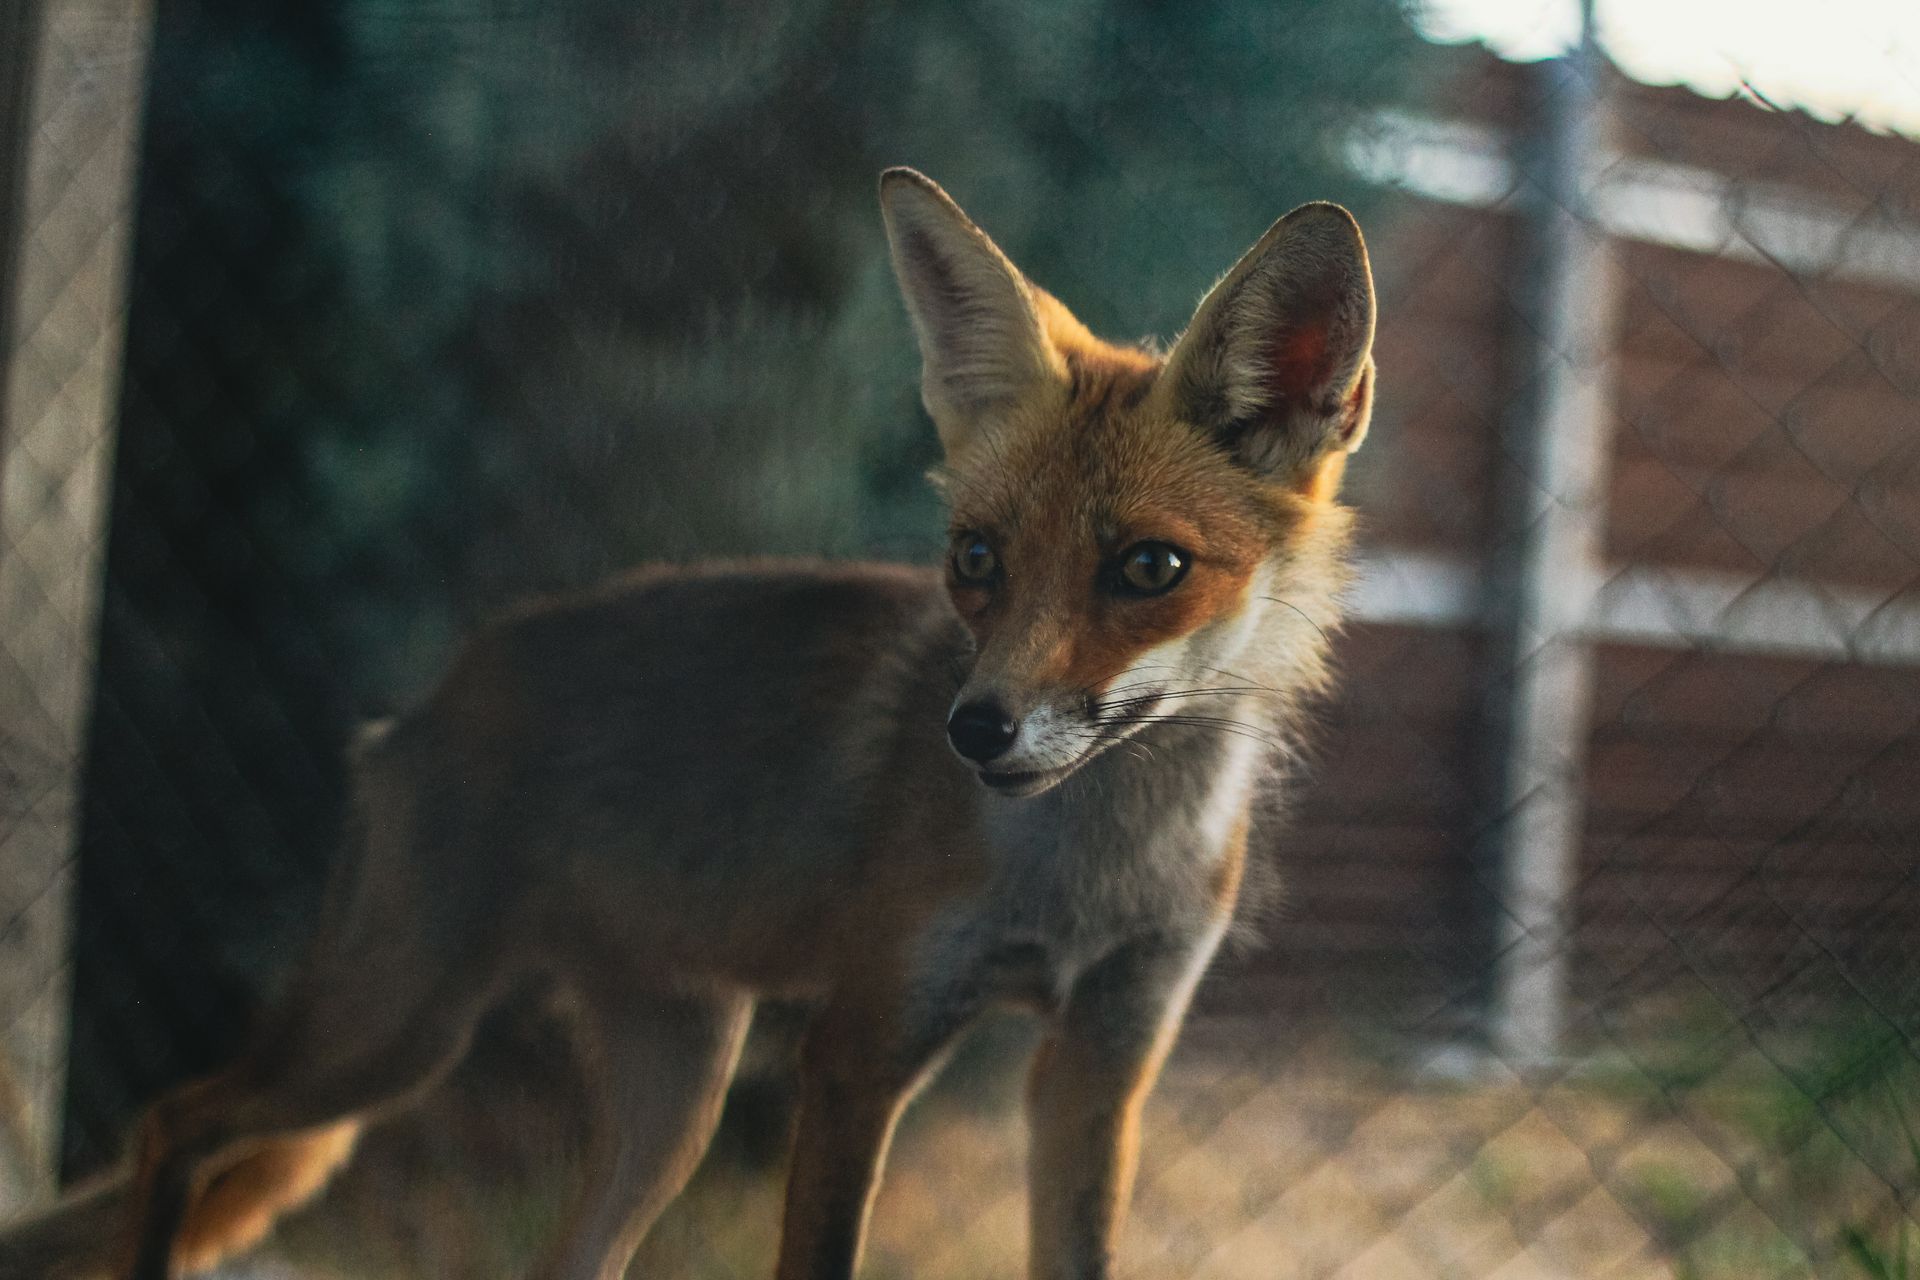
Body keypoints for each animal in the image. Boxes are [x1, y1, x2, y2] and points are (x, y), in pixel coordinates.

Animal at [0, 167, 1376, 1280]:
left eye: (1149, 568)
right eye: (976, 559)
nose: (976, 729)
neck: (1093, 867)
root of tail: (434, 692)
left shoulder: (1106, 1060)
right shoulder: (863, 1043)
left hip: (668, 1097)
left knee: (555, 1254)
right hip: (391, 1029)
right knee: (175, 1122)